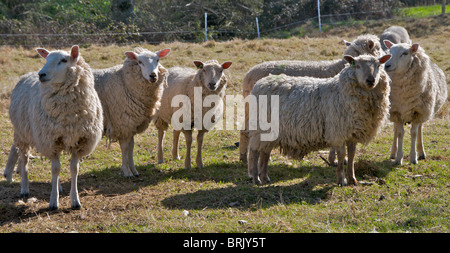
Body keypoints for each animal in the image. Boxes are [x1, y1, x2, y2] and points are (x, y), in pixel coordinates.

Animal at [3, 45, 103, 210]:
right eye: (47, 59)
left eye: (63, 60)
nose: (41, 74)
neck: (69, 115)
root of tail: (28, 74)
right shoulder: (51, 140)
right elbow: (55, 169)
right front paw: (53, 201)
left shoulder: (78, 140)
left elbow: (74, 169)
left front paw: (75, 200)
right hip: (22, 133)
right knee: (24, 160)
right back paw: (24, 188)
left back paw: (58, 186)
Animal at [93, 48, 171, 178]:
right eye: (140, 62)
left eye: (157, 60)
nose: (153, 76)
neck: (124, 80)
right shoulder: (123, 123)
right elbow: (125, 148)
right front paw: (127, 171)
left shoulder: (131, 125)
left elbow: (131, 147)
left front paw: (134, 170)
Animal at [248, 53, 392, 186]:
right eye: (357, 65)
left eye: (378, 65)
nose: (371, 80)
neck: (341, 92)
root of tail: (260, 83)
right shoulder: (338, 132)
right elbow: (341, 156)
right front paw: (342, 180)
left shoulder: (352, 133)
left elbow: (351, 155)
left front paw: (352, 179)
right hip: (260, 128)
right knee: (254, 152)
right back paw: (256, 178)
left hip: (270, 133)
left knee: (265, 153)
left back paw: (265, 177)